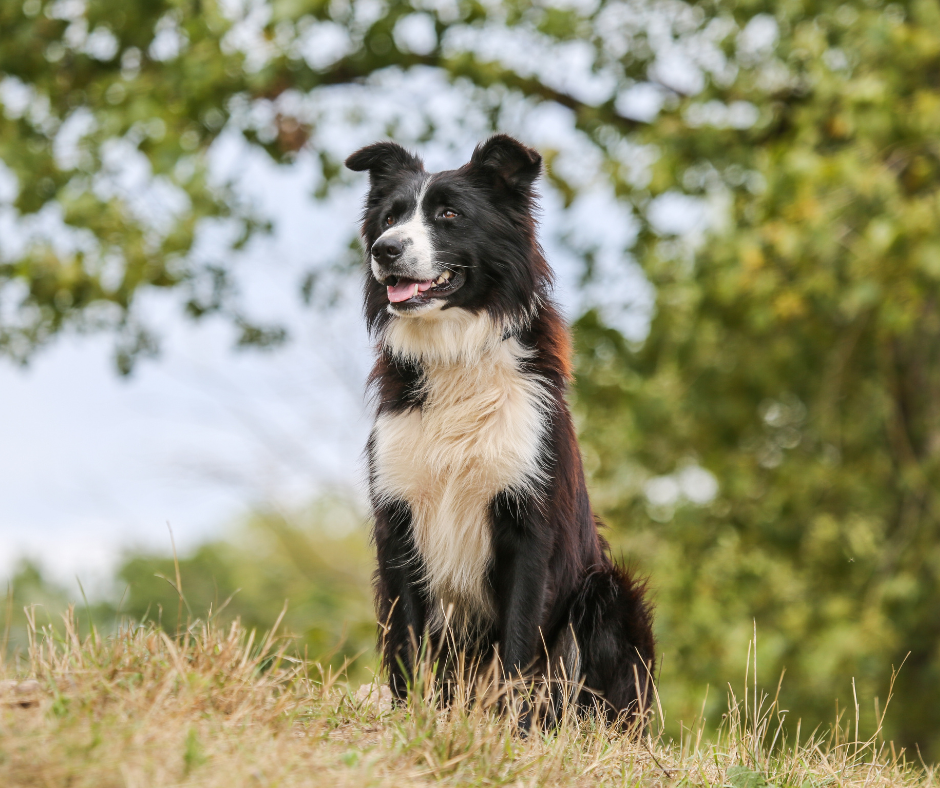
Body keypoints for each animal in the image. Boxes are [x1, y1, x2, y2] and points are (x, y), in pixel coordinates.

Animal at [344, 135, 652, 728]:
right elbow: (408, 640)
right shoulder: (400, 519)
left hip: (607, 593)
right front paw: (412, 717)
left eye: (448, 215)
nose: (385, 251)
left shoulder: (528, 525)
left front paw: (511, 729)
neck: (455, 352)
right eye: (390, 217)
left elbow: (517, 642)